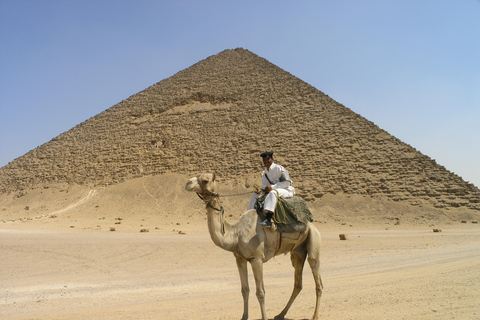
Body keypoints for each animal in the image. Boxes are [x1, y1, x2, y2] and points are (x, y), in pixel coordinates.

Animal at [186, 174, 324, 320]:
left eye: (205, 180)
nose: (188, 183)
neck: (236, 233)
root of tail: (311, 224)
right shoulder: (240, 259)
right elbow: (245, 290)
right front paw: (244, 317)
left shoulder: (257, 259)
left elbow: (260, 292)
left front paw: (263, 317)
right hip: (297, 252)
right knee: (298, 283)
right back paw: (280, 314)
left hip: (314, 240)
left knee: (317, 279)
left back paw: (315, 316)